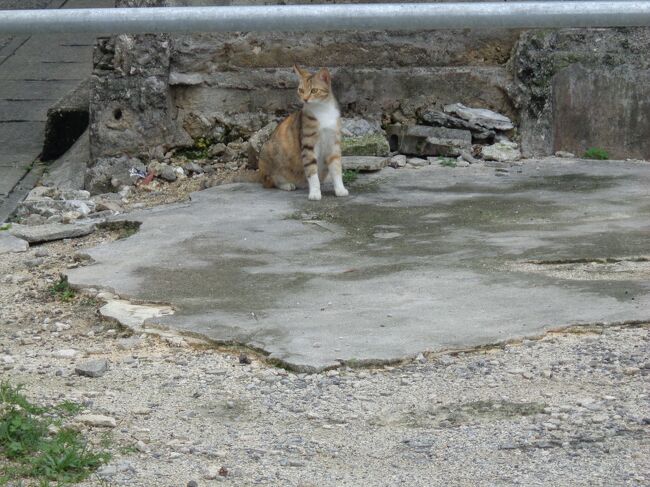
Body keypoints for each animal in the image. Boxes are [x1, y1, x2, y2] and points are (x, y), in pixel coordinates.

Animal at [256, 65, 350, 202]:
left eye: (314, 90)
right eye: (301, 90)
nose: (305, 99)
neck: (323, 111)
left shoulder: (334, 144)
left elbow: (336, 169)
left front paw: (340, 189)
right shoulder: (308, 145)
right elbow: (312, 171)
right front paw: (315, 192)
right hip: (267, 151)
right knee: (270, 181)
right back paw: (287, 184)